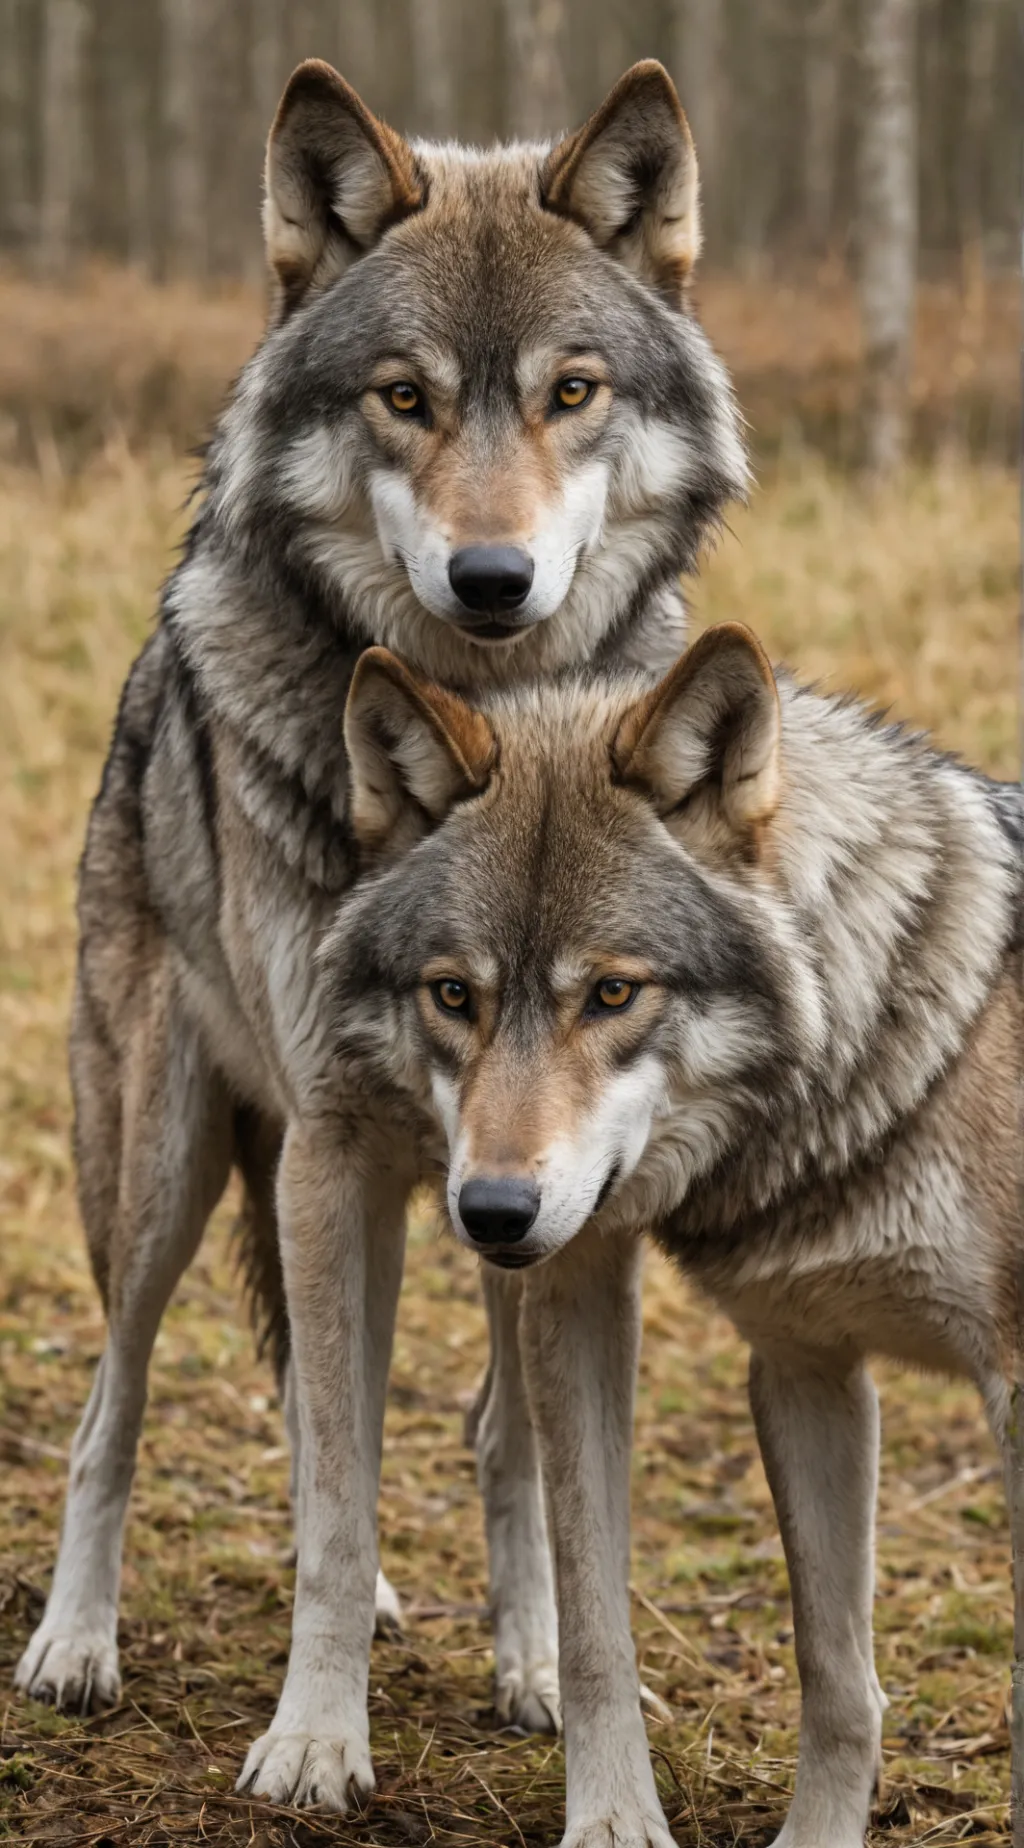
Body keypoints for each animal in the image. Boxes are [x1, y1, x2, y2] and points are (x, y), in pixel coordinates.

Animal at [13, 48, 748, 1809]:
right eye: (402, 399)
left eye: (571, 392)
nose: (493, 577)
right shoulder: (334, 1148)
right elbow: (340, 1491)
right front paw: (313, 1738)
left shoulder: (542, 1184)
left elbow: (518, 1459)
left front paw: (542, 1665)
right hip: (165, 1165)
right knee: (116, 1405)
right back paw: (75, 1641)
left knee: (427, 1420)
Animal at [313, 626, 1023, 1846]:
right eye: (453, 995)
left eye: (611, 993)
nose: (490, 1212)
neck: (877, 1081)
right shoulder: (800, 1366)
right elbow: (805, 1672)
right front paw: (629, 1821)